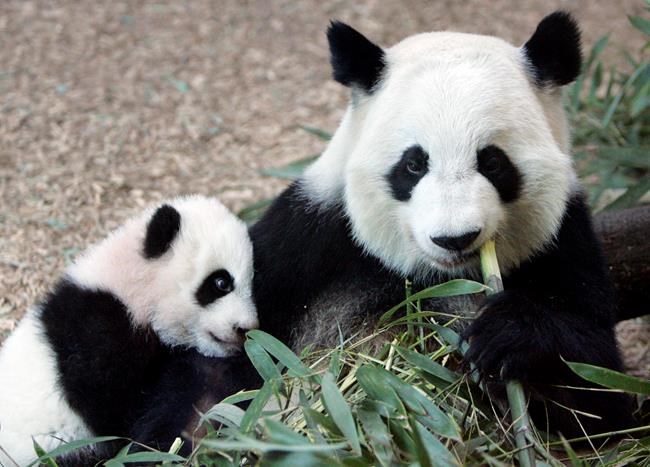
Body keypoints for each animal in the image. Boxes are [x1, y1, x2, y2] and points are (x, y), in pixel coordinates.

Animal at [249, 12, 635, 438]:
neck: (438, 276)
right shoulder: (307, 240)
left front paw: (506, 332)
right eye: (414, 164)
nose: (455, 239)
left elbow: (601, 395)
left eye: (492, 162)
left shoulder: (564, 242)